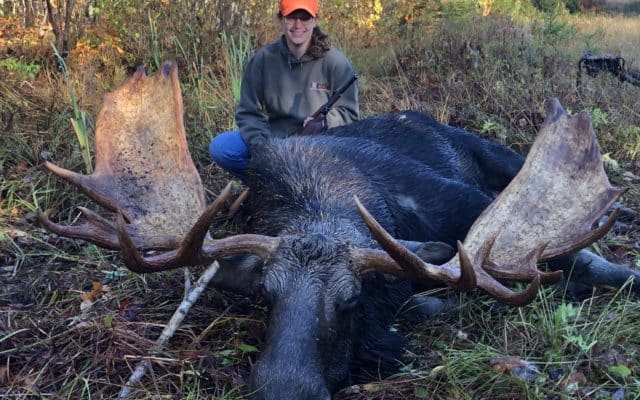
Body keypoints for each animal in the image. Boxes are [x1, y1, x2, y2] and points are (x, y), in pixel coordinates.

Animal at [40, 61, 640, 398]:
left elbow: (576, 258)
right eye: (266, 294)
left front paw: (627, 273)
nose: (284, 391)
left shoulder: (459, 199)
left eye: (351, 298)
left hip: (495, 154)